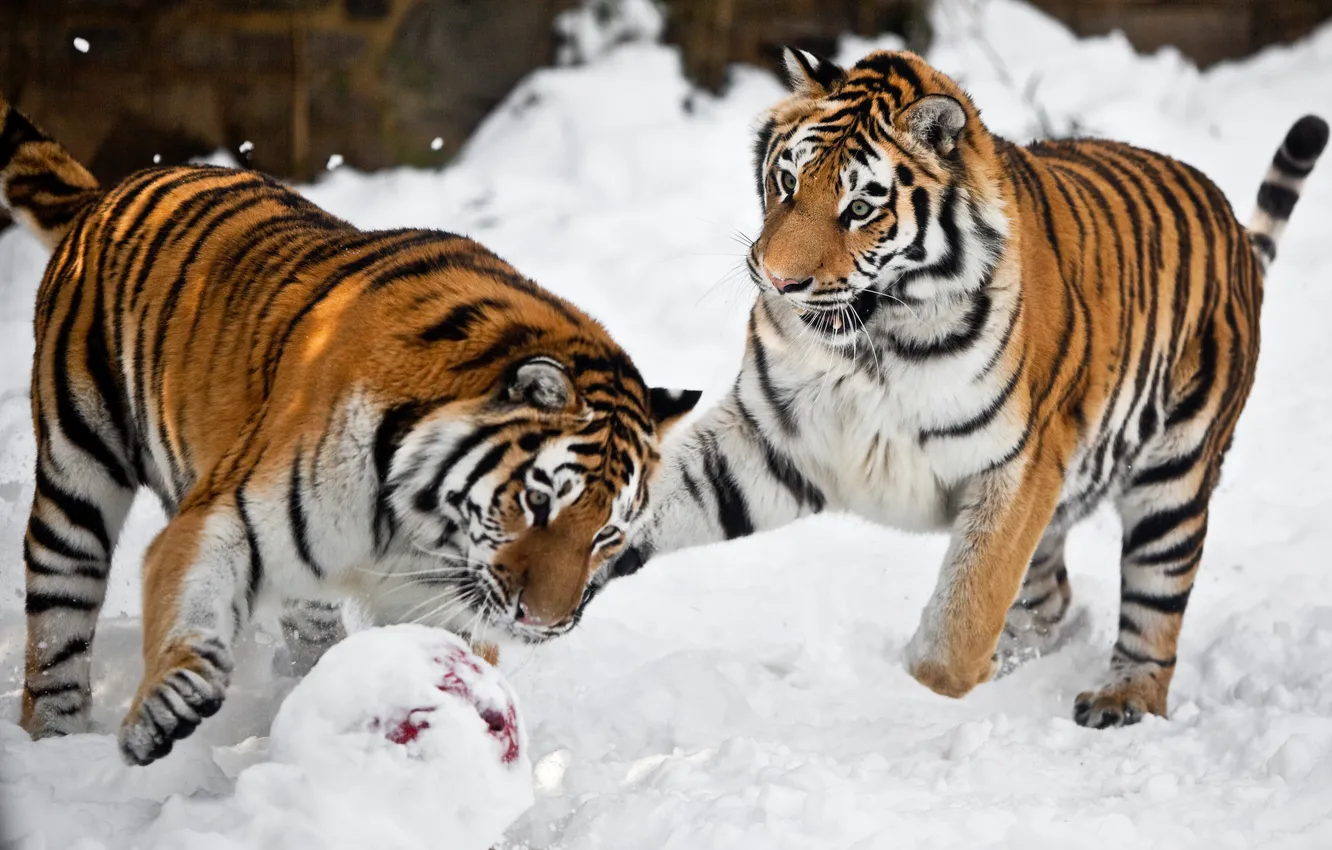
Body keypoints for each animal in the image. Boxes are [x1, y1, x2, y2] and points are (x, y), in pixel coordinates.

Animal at [0, 98, 700, 766]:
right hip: (75, 480)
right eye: (536, 501)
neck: (420, 531)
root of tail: (105, 194)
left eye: (607, 534)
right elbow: (192, 604)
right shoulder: (225, 513)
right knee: (56, 627)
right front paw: (165, 707)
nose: (546, 623)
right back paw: (56, 747)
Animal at [600, 48, 1327, 728]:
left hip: (1174, 478)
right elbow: (658, 497)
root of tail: (1232, 226)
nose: (778, 282)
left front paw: (935, 686)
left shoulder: (1020, 464)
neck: (874, 340)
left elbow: (959, 625)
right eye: (786, 182)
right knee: (1051, 597)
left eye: (859, 208)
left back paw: (1121, 698)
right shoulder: (771, 439)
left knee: (1155, 604)